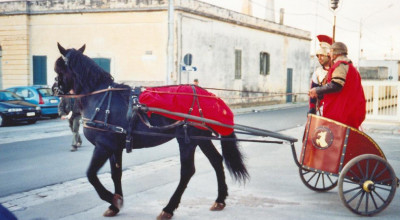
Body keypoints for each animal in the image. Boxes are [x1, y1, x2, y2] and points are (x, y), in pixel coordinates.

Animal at [53, 43, 247, 219]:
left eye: (58, 70)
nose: (55, 91)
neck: (100, 96)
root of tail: (208, 95)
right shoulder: (115, 148)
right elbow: (116, 174)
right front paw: (115, 204)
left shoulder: (103, 146)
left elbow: (91, 175)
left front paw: (113, 199)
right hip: (201, 138)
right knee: (216, 161)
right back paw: (220, 199)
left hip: (188, 139)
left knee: (187, 171)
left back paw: (169, 208)